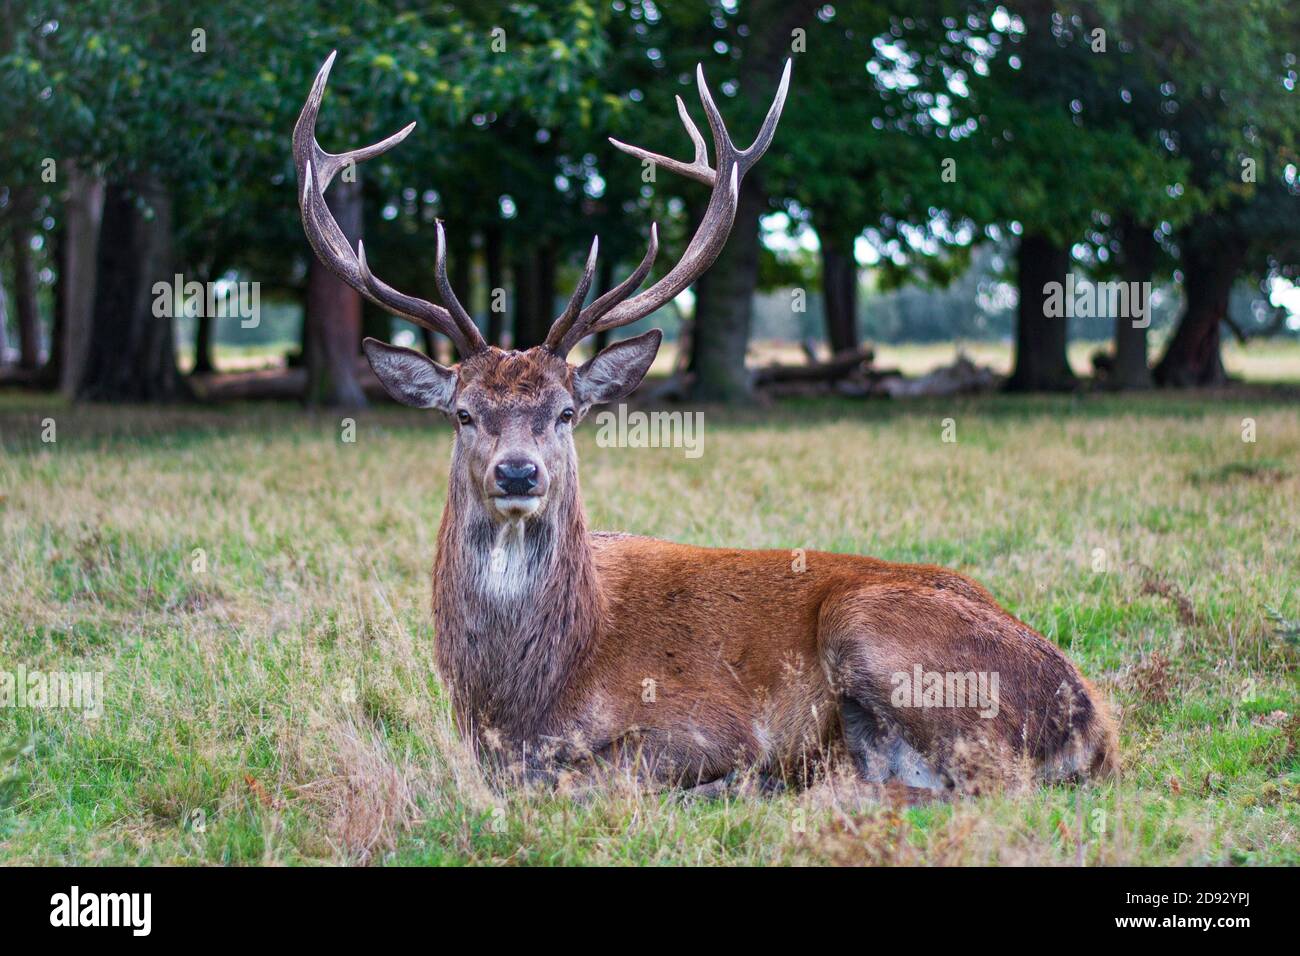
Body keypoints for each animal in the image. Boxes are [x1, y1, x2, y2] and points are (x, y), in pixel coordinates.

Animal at [295, 54, 1118, 801]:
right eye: (464, 413)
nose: (519, 472)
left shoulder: (710, 722)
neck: (525, 697)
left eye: (567, 412)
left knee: (982, 783)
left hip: (876, 626)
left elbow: (591, 777)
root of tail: (1095, 727)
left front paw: (731, 782)